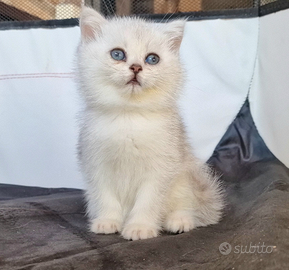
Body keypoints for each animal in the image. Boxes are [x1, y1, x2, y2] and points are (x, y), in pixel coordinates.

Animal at [76, 6, 223, 240]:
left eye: (152, 59)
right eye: (117, 54)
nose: (136, 67)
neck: (130, 115)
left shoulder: (161, 169)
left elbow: (148, 201)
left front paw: (140, 227)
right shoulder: (96, 164)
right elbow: (105, 197)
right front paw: (108, 221)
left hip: (185, 178)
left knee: (189, 206)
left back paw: (179, 221)